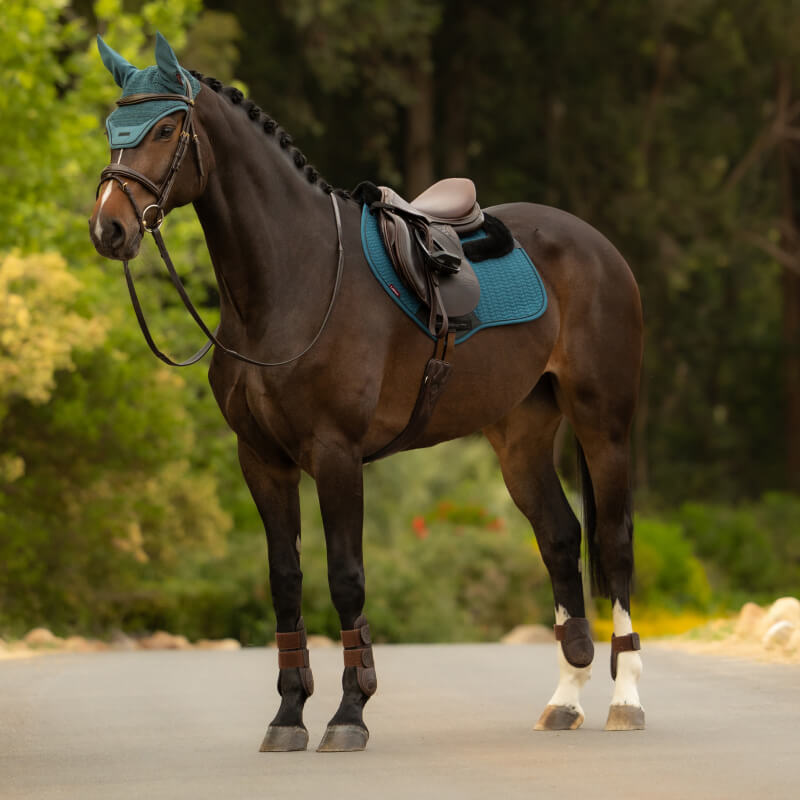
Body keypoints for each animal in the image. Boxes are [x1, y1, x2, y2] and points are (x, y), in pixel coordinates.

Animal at [89, 34, 644, 752]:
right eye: (113, 128)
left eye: (164, 128)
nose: (109, 229)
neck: (293, 278)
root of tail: (596, 244)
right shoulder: (261, 461)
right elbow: (286, 579)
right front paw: (288, 714)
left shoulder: (336, 454)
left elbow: (346, 577)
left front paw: (349, 712)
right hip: (520, 435)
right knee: (559, 535)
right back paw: (565, 699)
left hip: (603, 423)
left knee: (615, 542)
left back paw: (626, 700)